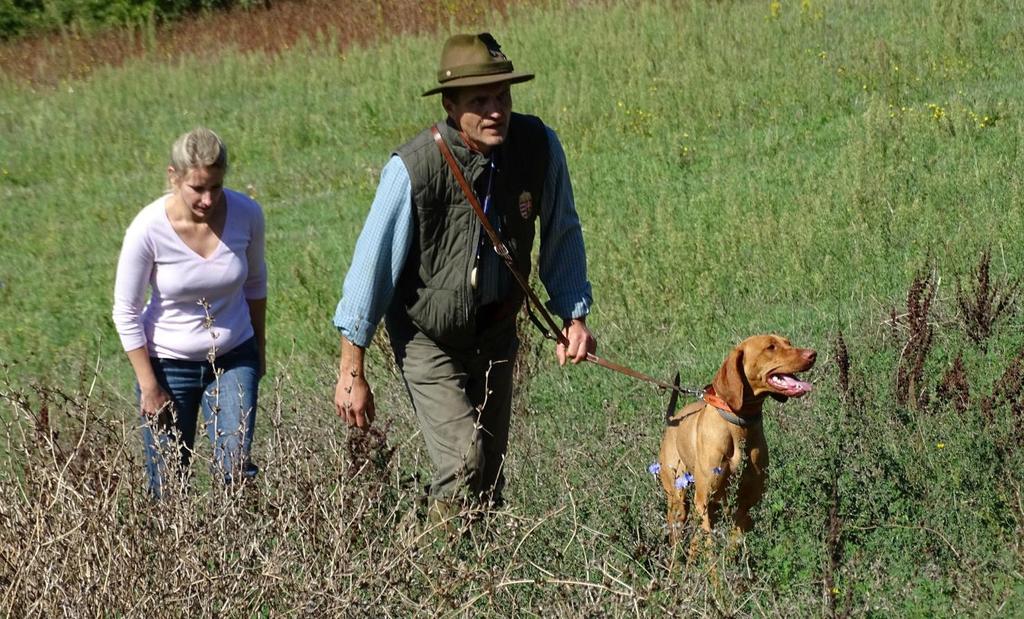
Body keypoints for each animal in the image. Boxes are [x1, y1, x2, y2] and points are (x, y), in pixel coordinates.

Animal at [659, 336, 819, 545]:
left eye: (789, 343)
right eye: (771, 347)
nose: (812, 354)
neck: (740, 426)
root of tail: (673, 419)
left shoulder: (746, 506)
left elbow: (734, 543)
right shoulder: (704, 501)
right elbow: (709, 546)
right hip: (678, 498)